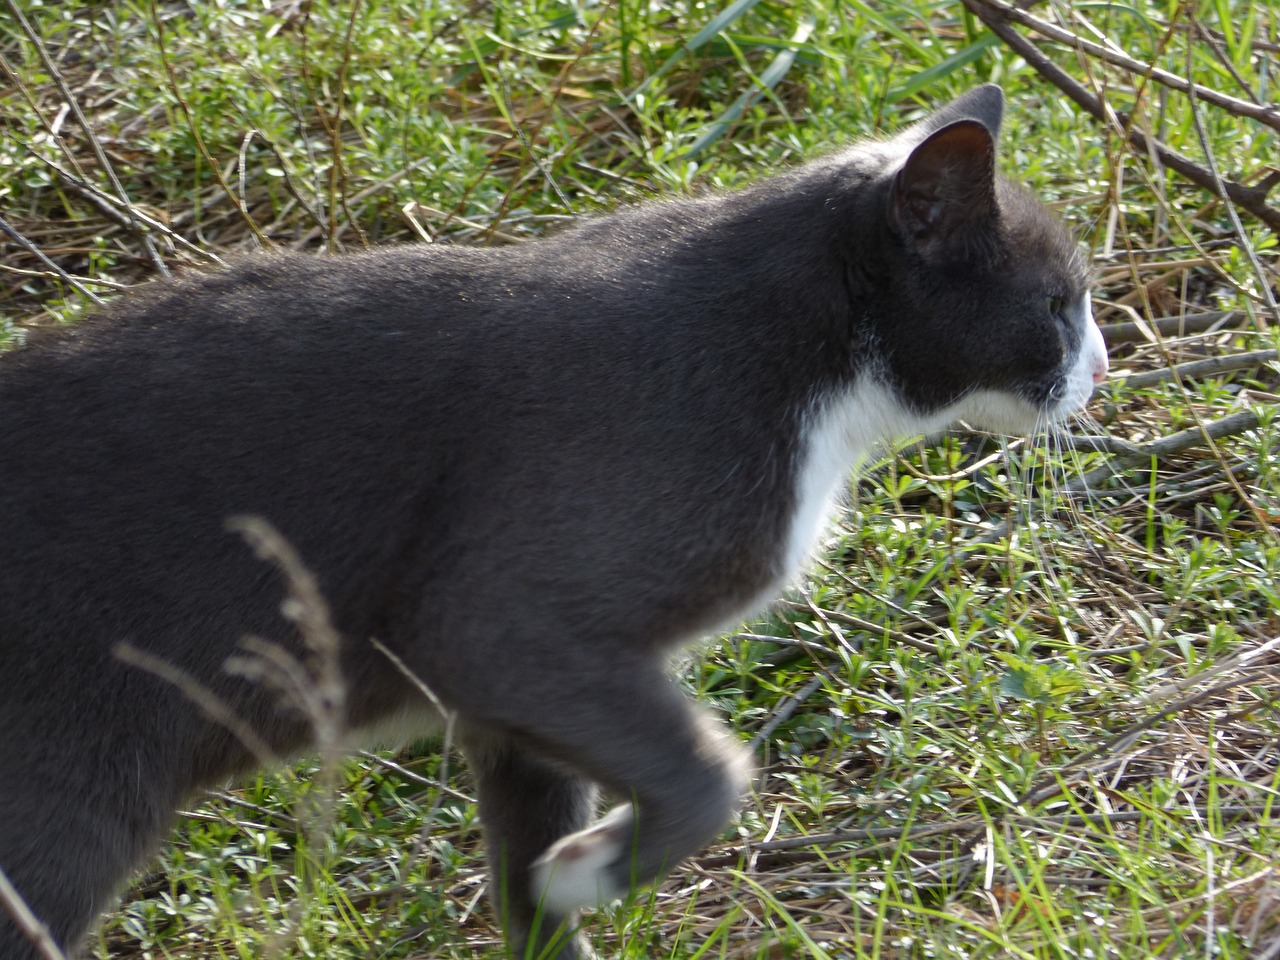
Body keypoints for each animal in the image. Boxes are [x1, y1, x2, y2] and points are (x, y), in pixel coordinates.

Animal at [0, 86, 1100, 957]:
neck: (805, 358)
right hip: (71, 785)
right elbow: (708, 773)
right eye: (1056, 304)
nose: (1099, 365)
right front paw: (589, 868)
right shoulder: (497, 616)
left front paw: (556, 888)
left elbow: (529, 849)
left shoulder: (515, 705)